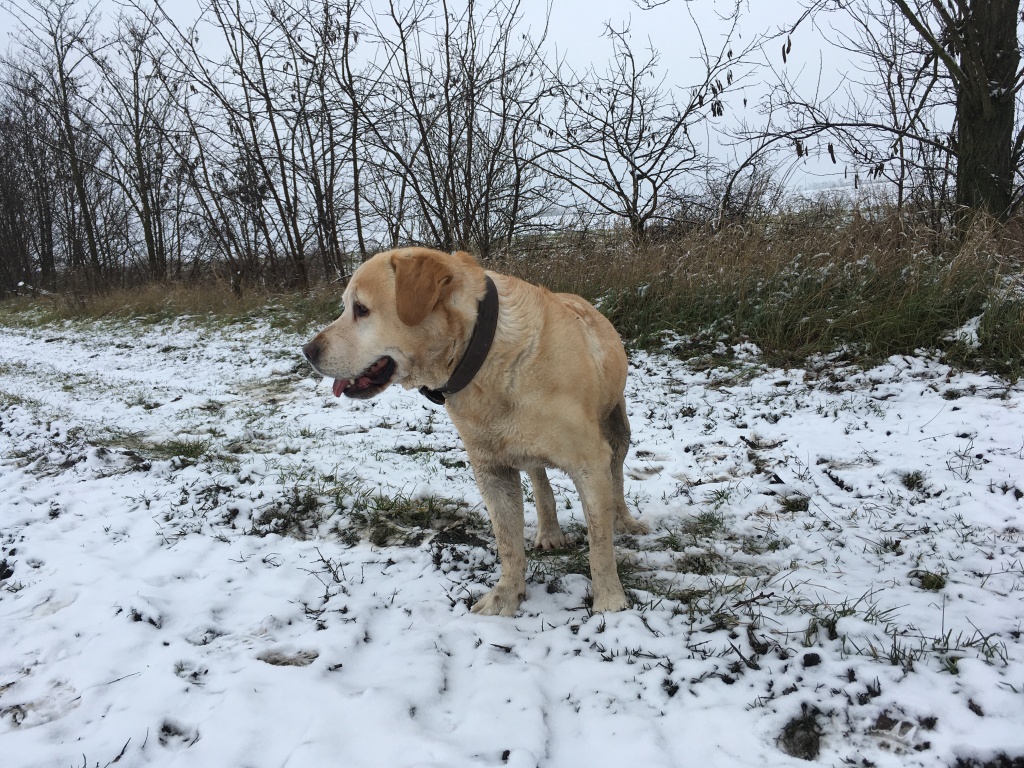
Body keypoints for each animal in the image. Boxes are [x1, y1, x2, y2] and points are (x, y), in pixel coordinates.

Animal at [302, 247, 647, 615]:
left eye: (361, 309)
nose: (308, 351)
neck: (482, 356)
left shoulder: (589, 462)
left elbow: (599, 541)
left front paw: (610, 602)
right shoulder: (491, 469)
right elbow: (507, 542)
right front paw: (506, 597)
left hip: (617, 428)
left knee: (617, 474)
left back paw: (624, 520)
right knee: (540, 480)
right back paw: (549, 531)